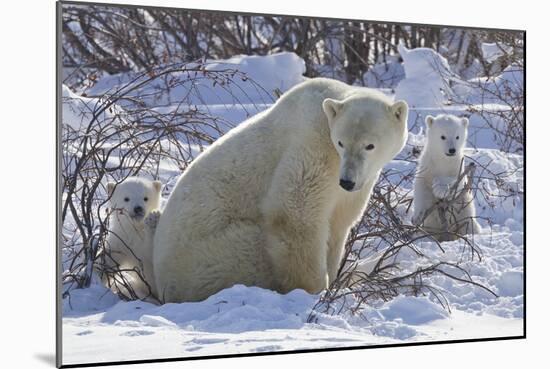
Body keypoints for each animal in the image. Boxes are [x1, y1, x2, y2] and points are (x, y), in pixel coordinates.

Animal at [154, 77, 410, 302]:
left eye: (370, 145)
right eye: (341, 142)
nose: (347, 181)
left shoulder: (357, 182)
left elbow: (339, 221)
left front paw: (335, 276)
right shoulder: (312, 144)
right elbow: (295, 214)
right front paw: (316, 289)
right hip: (214, 254)